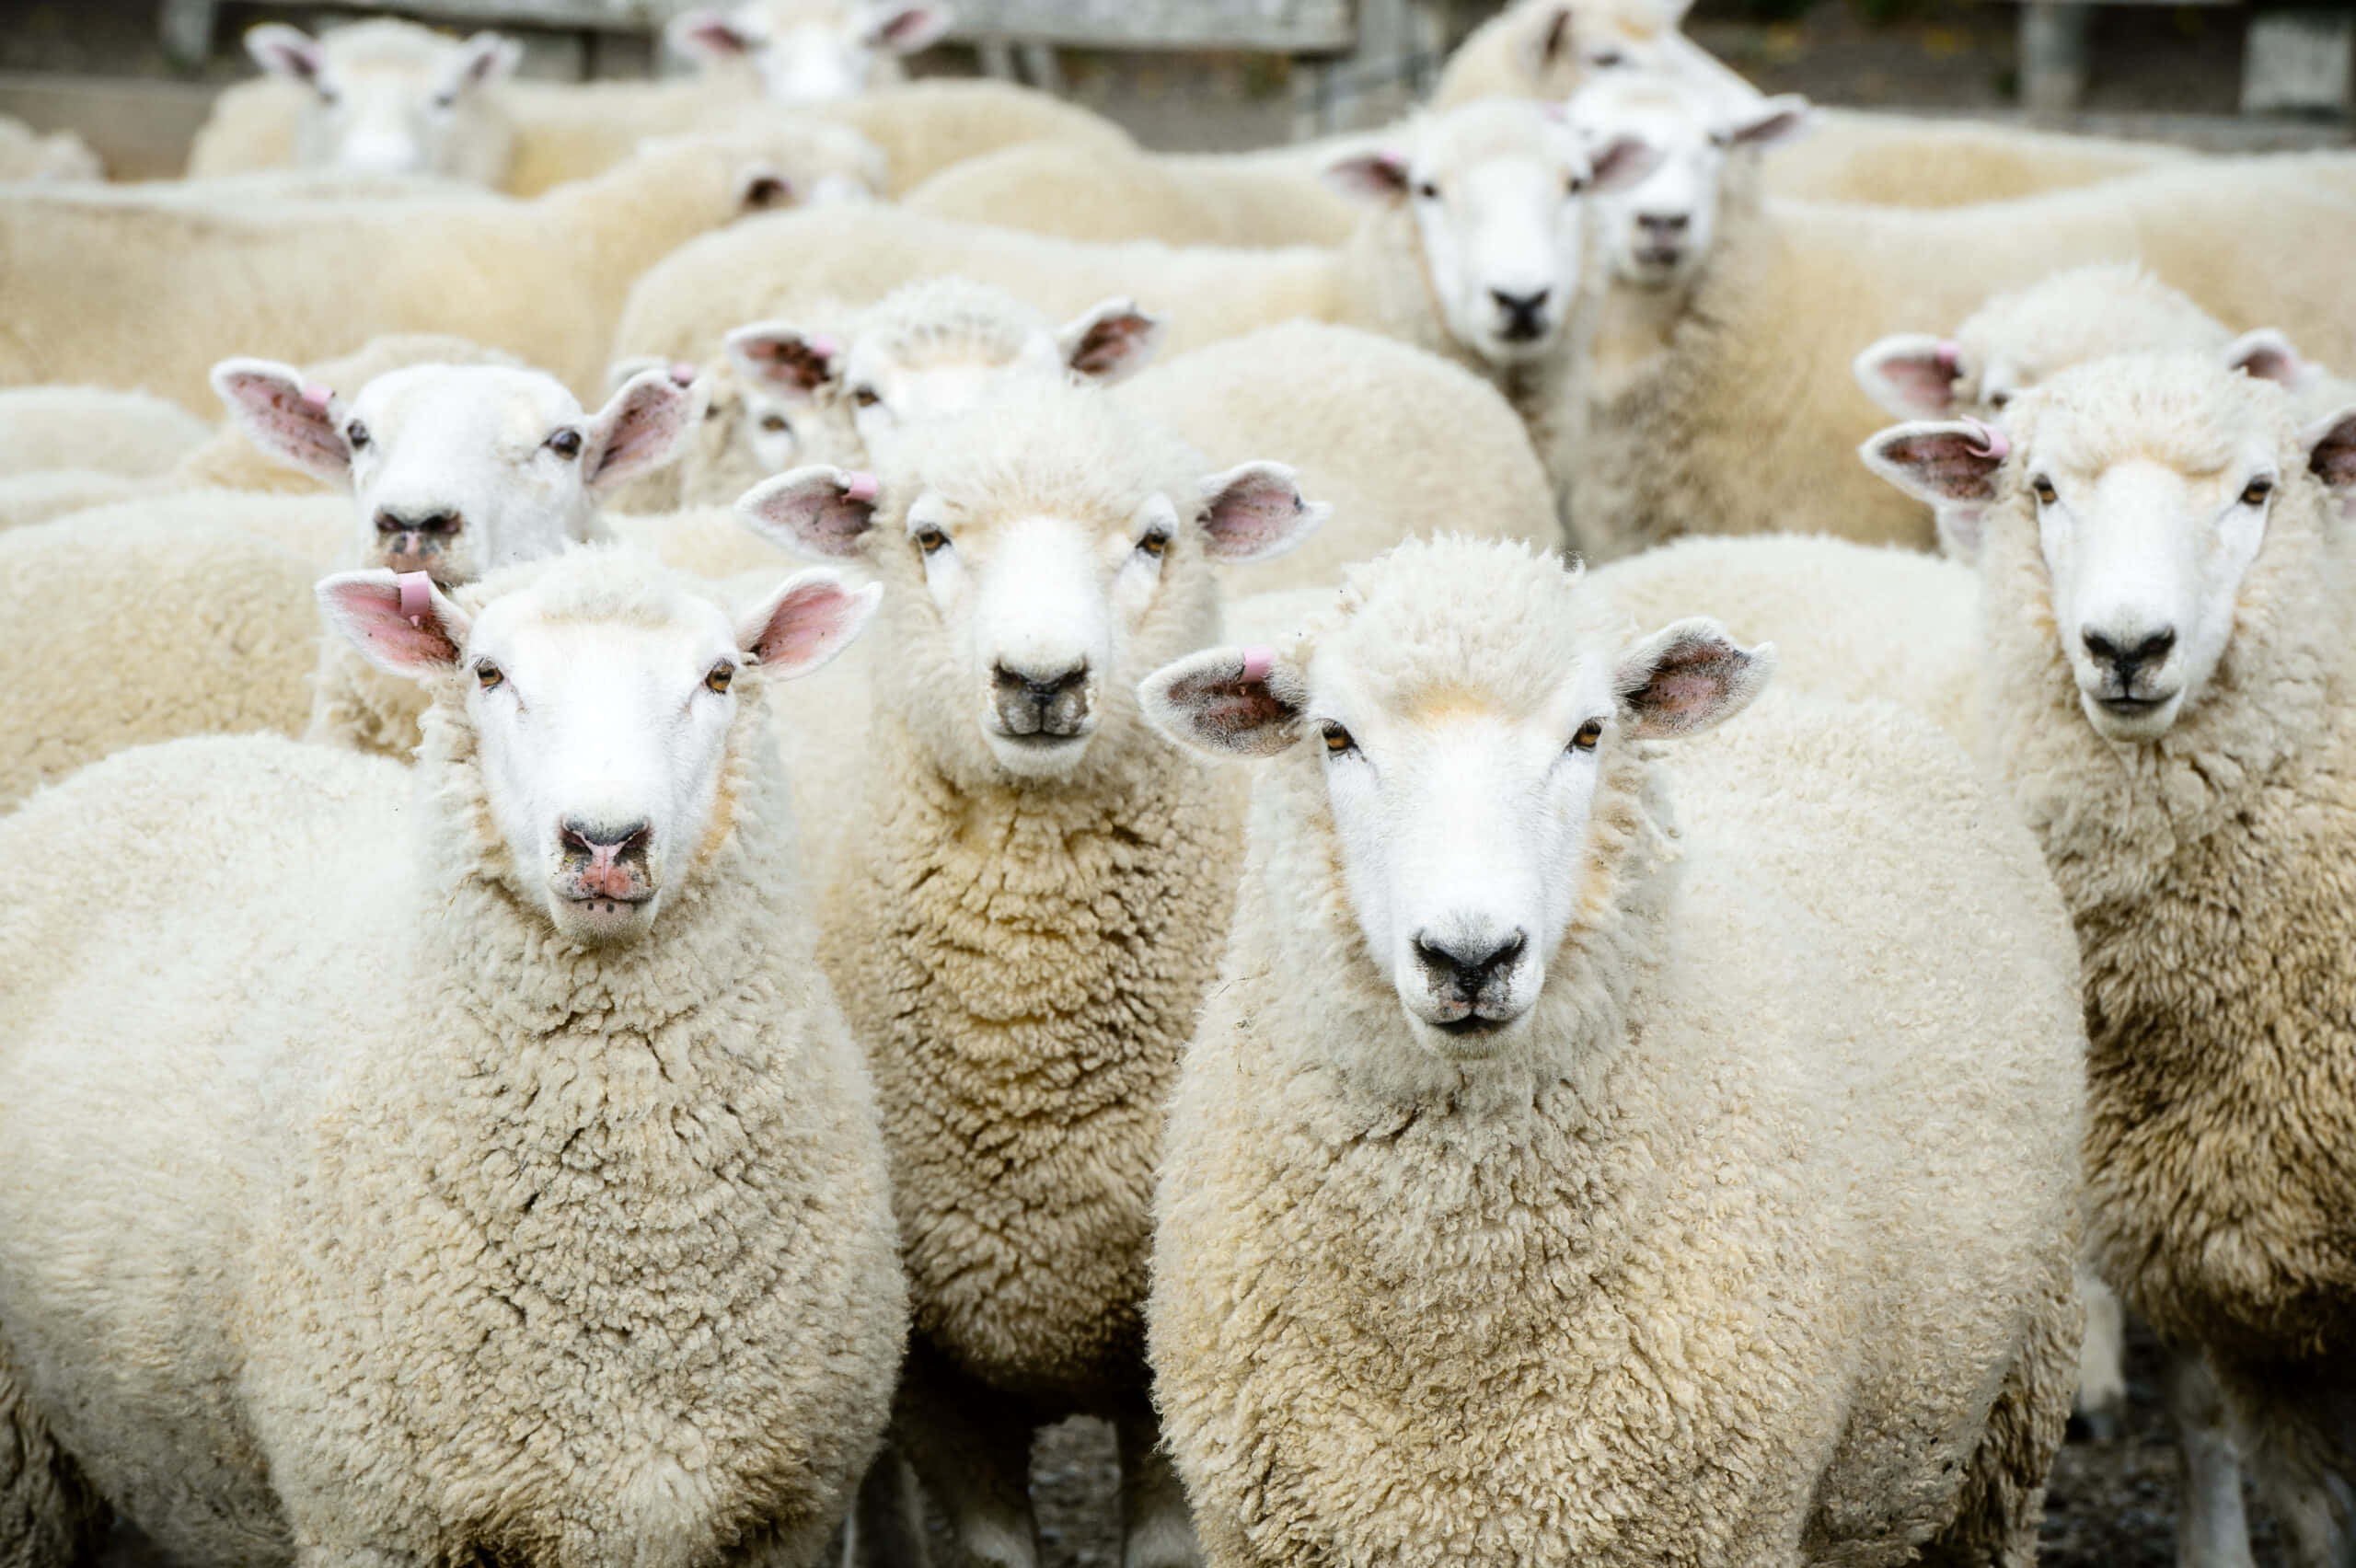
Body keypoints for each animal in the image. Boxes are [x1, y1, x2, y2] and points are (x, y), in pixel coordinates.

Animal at [0, 545, 904, 1567]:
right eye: (488, 673)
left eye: (719, 676)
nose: (604, 842)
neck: (638, 1258)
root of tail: (162, 755)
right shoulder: (376, 1515)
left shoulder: (783, 1515)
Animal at [1137, 534, 2086, 1567]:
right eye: (1336, 738)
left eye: (1587, 735)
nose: (1470, 955)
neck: (1456, 1320)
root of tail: (1838, 707)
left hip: (2009, 1417)